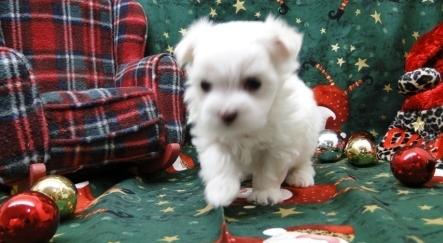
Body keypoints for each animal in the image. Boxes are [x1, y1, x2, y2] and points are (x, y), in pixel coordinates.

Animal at [174, 16, 322, 207]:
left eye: (254, 83)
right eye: (204, 85)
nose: (226, 113)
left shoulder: (279, 146)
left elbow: (269, 172)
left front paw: (264, 193)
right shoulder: (212, 136)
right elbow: (219, 161)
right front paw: (221, 190)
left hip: (307, 139)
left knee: (303, 161)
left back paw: (300, 176)